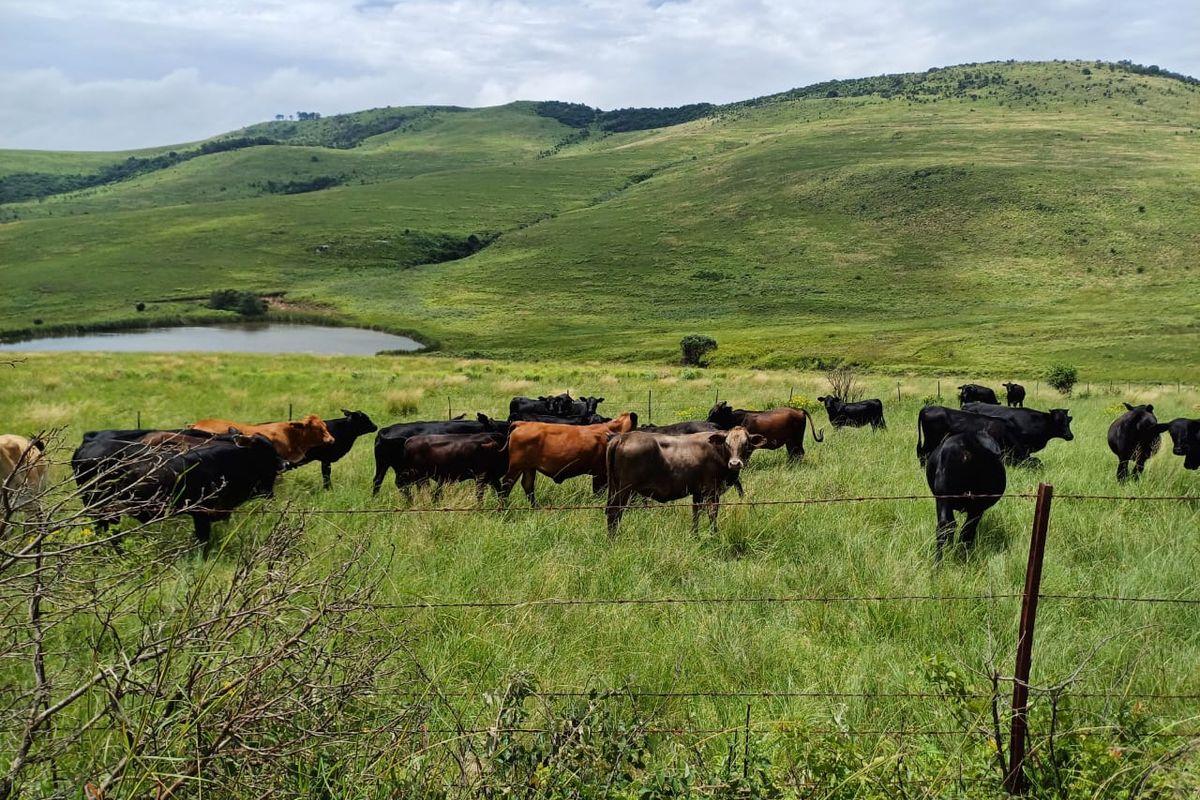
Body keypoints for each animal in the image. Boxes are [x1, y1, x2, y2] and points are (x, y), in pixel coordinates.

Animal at [504, 413, 638, 505]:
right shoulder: (600, 473)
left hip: (529, 468)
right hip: (516, 467)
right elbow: (598, 492)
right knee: (506, 484)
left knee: (528, 485)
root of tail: (522, 423)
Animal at [605, 426, 766, 535]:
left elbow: (696, 513)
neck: (718, 452)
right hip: (624, 490)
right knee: (614, 512)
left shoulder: (698, 492)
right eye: (727, 444)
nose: (735, 463)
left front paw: (695, 535)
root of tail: (622, 437)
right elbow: (712, 513)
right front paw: (714, 534)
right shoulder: (712, 491)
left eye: (746, 444)